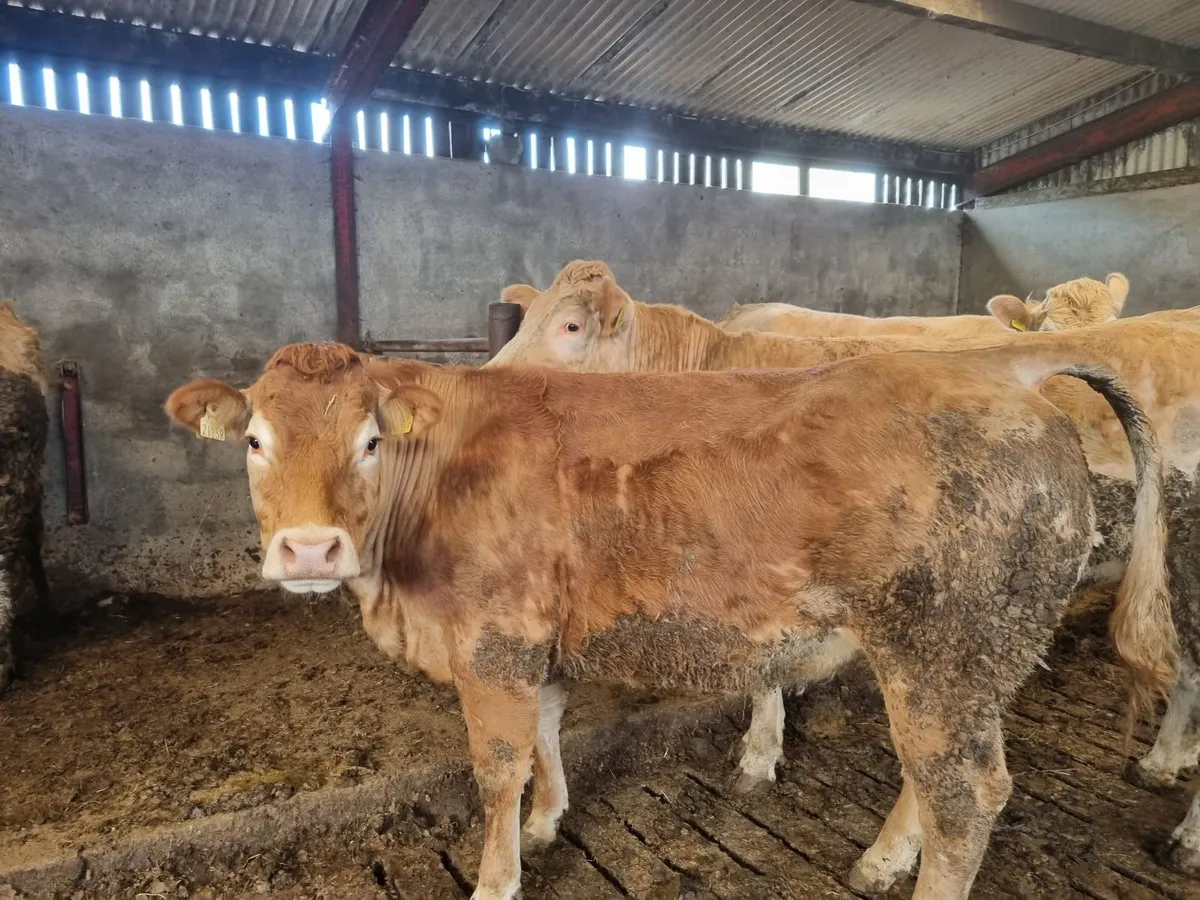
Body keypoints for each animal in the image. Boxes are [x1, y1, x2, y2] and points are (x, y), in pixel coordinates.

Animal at [167, 339, 1172, 900]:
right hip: (972, 658)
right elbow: (548, 735)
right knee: (939, 778)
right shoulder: (541, 643)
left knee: (967, 795)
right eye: (254, 440)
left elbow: (495, 768)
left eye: (371, 440)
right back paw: (884, 859)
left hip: (942, 650)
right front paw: (549, 821)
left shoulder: (492, 643)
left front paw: (498, 876)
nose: (308, 550)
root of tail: (1008, 376)